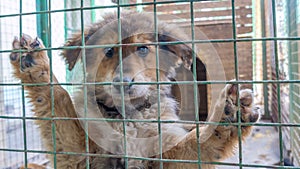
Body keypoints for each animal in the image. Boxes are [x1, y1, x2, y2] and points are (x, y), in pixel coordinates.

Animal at [11, 11, 260, 169]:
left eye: (142, 49)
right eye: (109, 51)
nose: (122, 82)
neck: (126, 117)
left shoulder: (167, 155)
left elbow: (197, 142)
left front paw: (228, 113)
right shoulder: (76, 156)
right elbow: (59, 101)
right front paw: (36, 63)